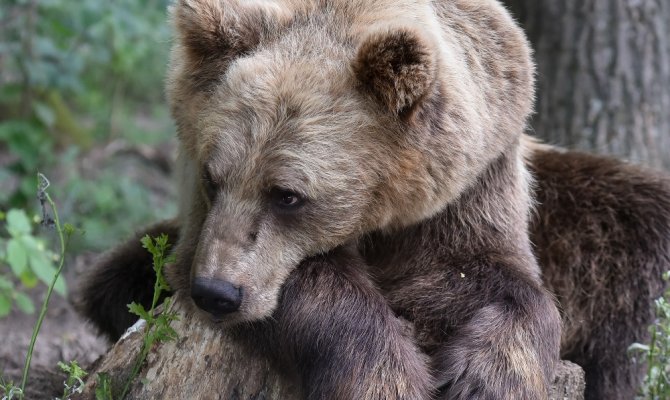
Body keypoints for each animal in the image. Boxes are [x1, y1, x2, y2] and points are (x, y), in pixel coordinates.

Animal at [75, 0, 668, 398]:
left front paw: (483, 377)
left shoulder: (472, 184)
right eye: (212, 177)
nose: (217, 292)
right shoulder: (199, 226)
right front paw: (388, 376)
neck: (385, 215)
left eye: (287, 195)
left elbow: (494, 279)